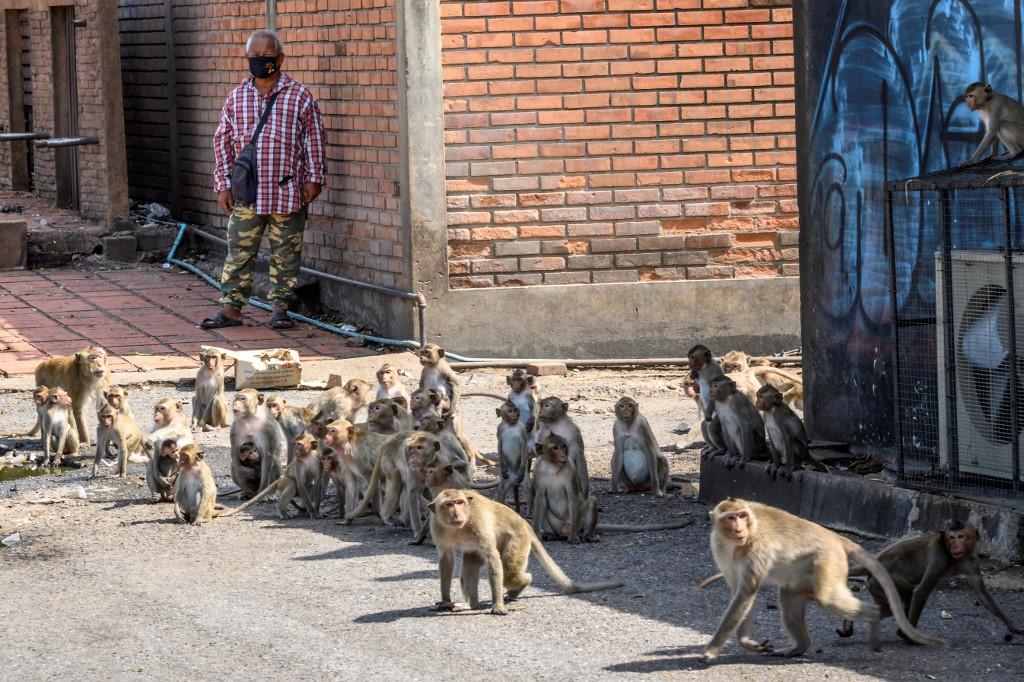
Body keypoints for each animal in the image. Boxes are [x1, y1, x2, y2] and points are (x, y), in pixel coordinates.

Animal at [425, 485, 618, 614]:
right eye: (449, 505)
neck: (457, 527)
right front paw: (445, 600)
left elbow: (492, 557)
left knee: (509, 574)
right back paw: (471, 605)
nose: (457, 513)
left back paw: (524, 582)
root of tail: (524, 522)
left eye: (459, 503)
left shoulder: (477, 522)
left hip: (518, 539)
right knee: (469, 569)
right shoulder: (436, 526)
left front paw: (498, 606)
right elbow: (446, 559)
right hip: (480, 551)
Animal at [704, 493, 942, 659]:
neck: (735, 545)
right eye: (731, 517)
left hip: (829, 561)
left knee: (826, 598)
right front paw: (747, 643)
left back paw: (873, 616)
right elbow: (741, 593)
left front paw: (711, 650)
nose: (739, 528)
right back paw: (800, 647)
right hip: (804, 573)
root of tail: (836, 537)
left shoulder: (757, 547)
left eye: (742, 516)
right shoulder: (719, 549)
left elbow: (746, 593)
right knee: (789, 596)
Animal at [835, 522, 1019, 638]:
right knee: (907, 595)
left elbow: (982, 594)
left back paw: (850, 621)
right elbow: (921, 591)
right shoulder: (939, 558)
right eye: (952, 537)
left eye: (961, 536)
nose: (956, 546)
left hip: (876, 585)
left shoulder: (971, 562)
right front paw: (907, 636)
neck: (953, 556)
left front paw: (1014, 627)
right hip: (884, 582)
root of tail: (875, 562)